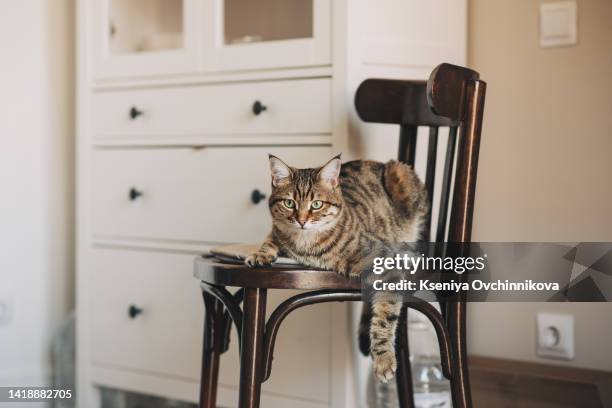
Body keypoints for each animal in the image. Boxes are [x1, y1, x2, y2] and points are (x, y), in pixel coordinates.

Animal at [246, 154, 428, 382]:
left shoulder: (384, 262)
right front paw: (260, 254)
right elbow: (270, 240)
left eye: (316, 204)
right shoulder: (277, 231)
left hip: (400, 178)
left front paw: (384, 358)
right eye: (289, 203)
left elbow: (385, 317)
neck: (306, 244)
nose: (301, 220)